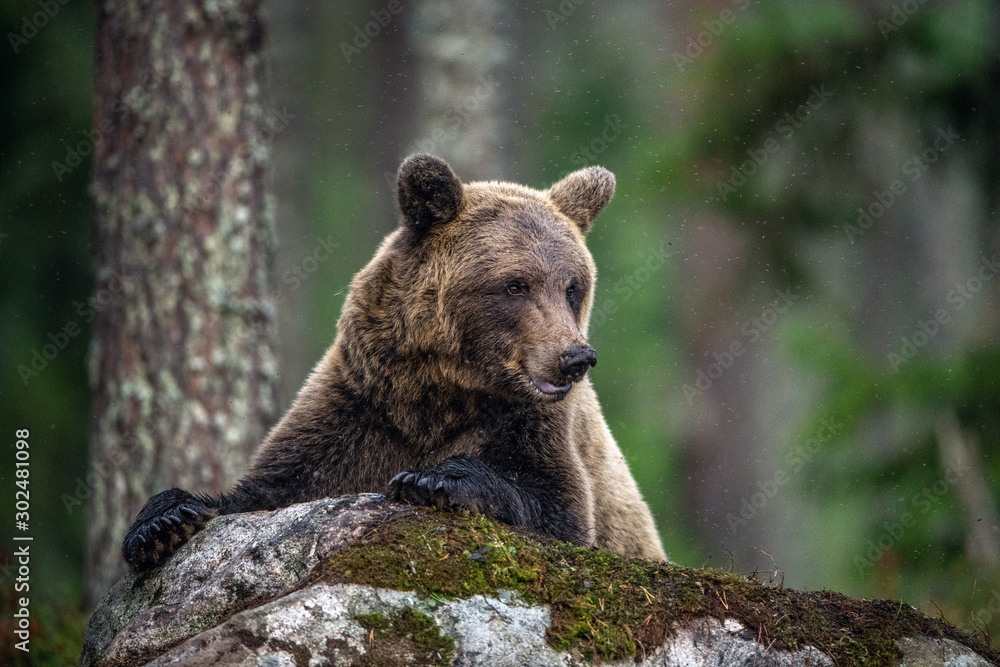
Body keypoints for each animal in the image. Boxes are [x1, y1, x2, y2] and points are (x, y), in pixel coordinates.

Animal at [122, 153, 666, 571]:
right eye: (516, 284)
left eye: (572, 286)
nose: (574, 358)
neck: (436, 393)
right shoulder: (358, 406)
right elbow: (266, 488)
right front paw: (163, 521)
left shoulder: (535, 424)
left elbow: (558, 507)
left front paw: (434, 478)